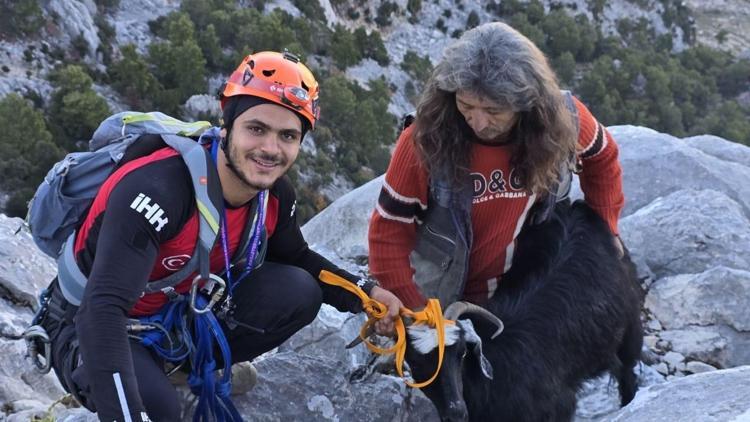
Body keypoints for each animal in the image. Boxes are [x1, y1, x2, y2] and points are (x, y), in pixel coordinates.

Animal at [408, 199, 644, 420]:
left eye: (461, 352)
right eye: (416, 364)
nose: (456, 412)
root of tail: (578, 208)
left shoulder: (559, 406)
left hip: (630, 330)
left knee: (627, 373)